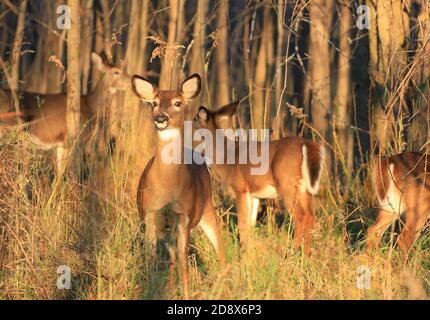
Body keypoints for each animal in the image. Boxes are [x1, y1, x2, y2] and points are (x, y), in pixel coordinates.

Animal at [0, 51, 131, 174]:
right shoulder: (68, 139)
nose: (131, 81)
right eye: (116, 72)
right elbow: (62, 172)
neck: (89, 105)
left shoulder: (60, 143)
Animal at [131, 74, 225, 298]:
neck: (168, 185)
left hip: (206, 209)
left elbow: (184, 264)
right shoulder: (150, 214)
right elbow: (151, 261)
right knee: (172, 257)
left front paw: (187, 294)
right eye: (154, 103)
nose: (160, 118)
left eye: (177, 103)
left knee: (221, 252)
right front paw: (150, 290)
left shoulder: (184, 216)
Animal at [192, 101, 326, 256]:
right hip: (304, 187)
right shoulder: (254, 194)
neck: (227, 159)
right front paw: (248, 253)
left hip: (286, 183)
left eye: (194, 120)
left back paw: (293, 251)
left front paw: (242, 254)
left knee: (300, 215)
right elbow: (250, 225)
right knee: (310, 215)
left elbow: (242, 225)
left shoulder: (241, 188)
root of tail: (307, 145)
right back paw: (306, 254)